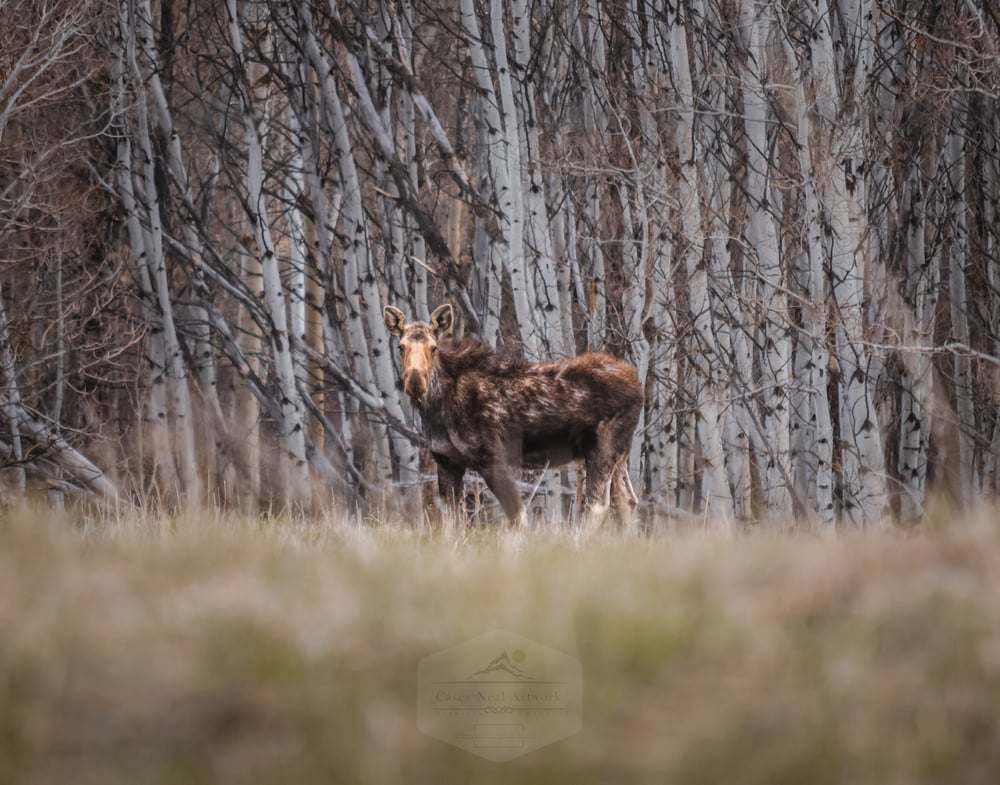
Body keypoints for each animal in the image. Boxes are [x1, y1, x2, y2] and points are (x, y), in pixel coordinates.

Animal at [382, 304, 640, 528]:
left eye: (433, 347)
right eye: (401, 346)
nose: (415, 383)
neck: (436, 409)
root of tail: (638, 386)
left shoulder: (491, 456)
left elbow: (518, 516)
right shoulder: (447, 461)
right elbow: (450, 523)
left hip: (602, 447)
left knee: (598, 506)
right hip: (619, 452)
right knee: (627, 500)